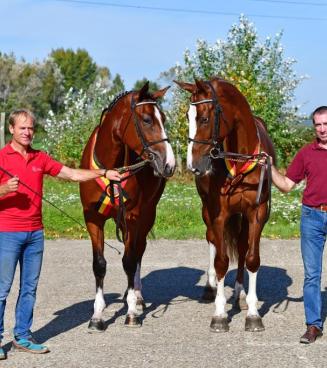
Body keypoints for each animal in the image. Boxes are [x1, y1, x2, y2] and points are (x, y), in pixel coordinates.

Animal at [80, 82, 177, 330]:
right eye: (147, 120)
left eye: (163, 118)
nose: (169, 164)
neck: (110, 170)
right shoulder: (93, 218)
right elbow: (99, 264)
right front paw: (97, 316)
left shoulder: (133, 217)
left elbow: (130, 261)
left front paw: (132, 311)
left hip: (147, 215)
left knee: (137, 251)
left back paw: (137, 297)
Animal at [176, 78, 276, 334]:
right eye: (187, 116)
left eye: (204, 118)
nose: (193, 165)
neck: (240, 160)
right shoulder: (218, 214)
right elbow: (220, 261)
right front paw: (220, 314)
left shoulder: (257, 213)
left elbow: (251, 258)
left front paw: (253, 314)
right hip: (207, 212)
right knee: (212, 240)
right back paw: (210, 287)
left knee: (240, 247)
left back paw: (240, 293)